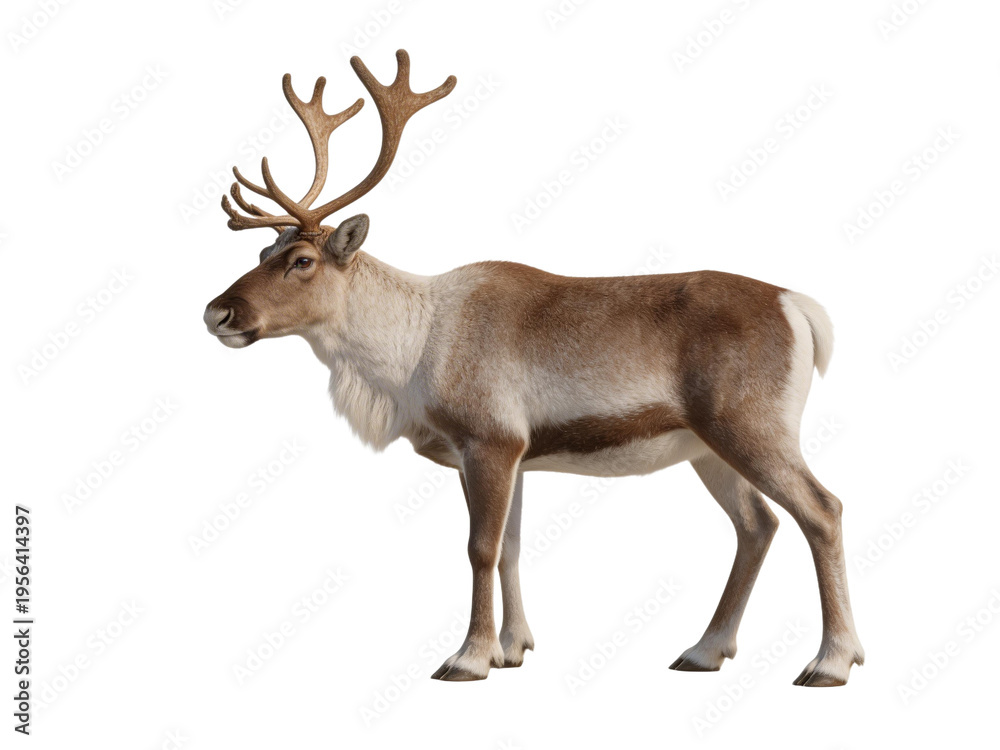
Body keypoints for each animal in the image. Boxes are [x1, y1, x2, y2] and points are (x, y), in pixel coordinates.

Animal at [203, 50, 864, 686]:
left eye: (302, 259)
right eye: (261, 250)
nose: (217, 311)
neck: (412, 353)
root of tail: (799, 308)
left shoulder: (489, 439)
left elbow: (480, 547)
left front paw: (467, 658)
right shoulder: (509, 452)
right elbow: (512, 547)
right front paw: (512, 649)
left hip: (751, 425)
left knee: (821, 509)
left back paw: (831, 661)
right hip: (707, 447)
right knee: (757, 525)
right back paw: (703, 651)